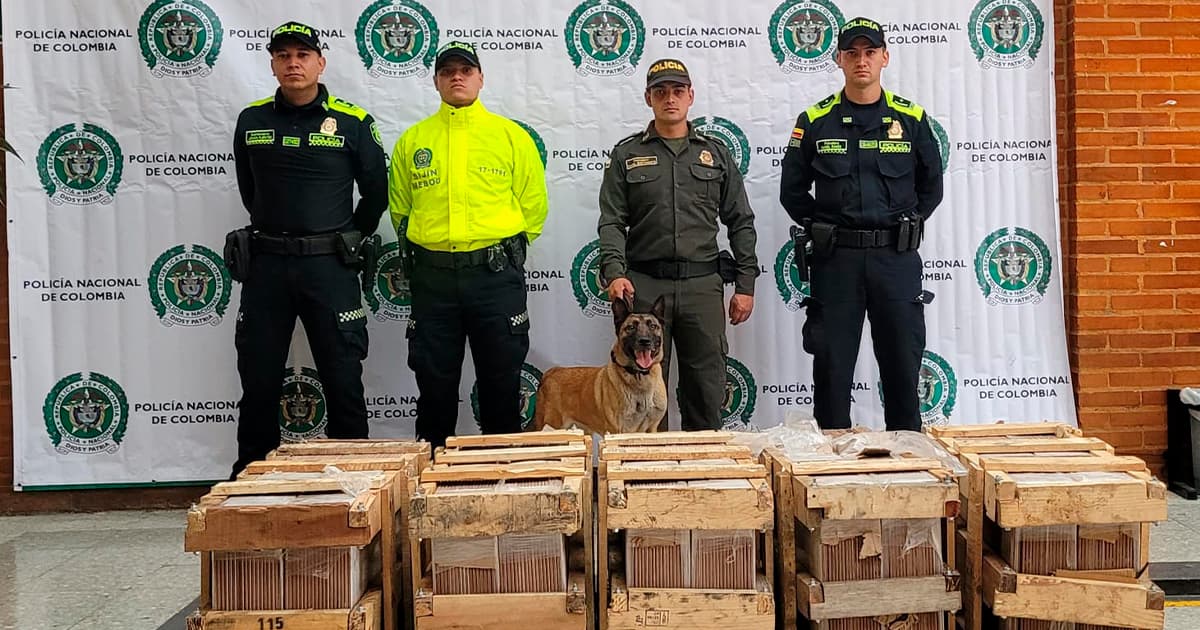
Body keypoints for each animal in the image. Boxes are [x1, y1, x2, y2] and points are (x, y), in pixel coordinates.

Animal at [532, 295, 667, 432]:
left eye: (653, 326)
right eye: (631, 328)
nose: (645, 341)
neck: (639, 376)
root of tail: (551, 371)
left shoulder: (652, 429)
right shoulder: (619, 430)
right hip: (551, 427)